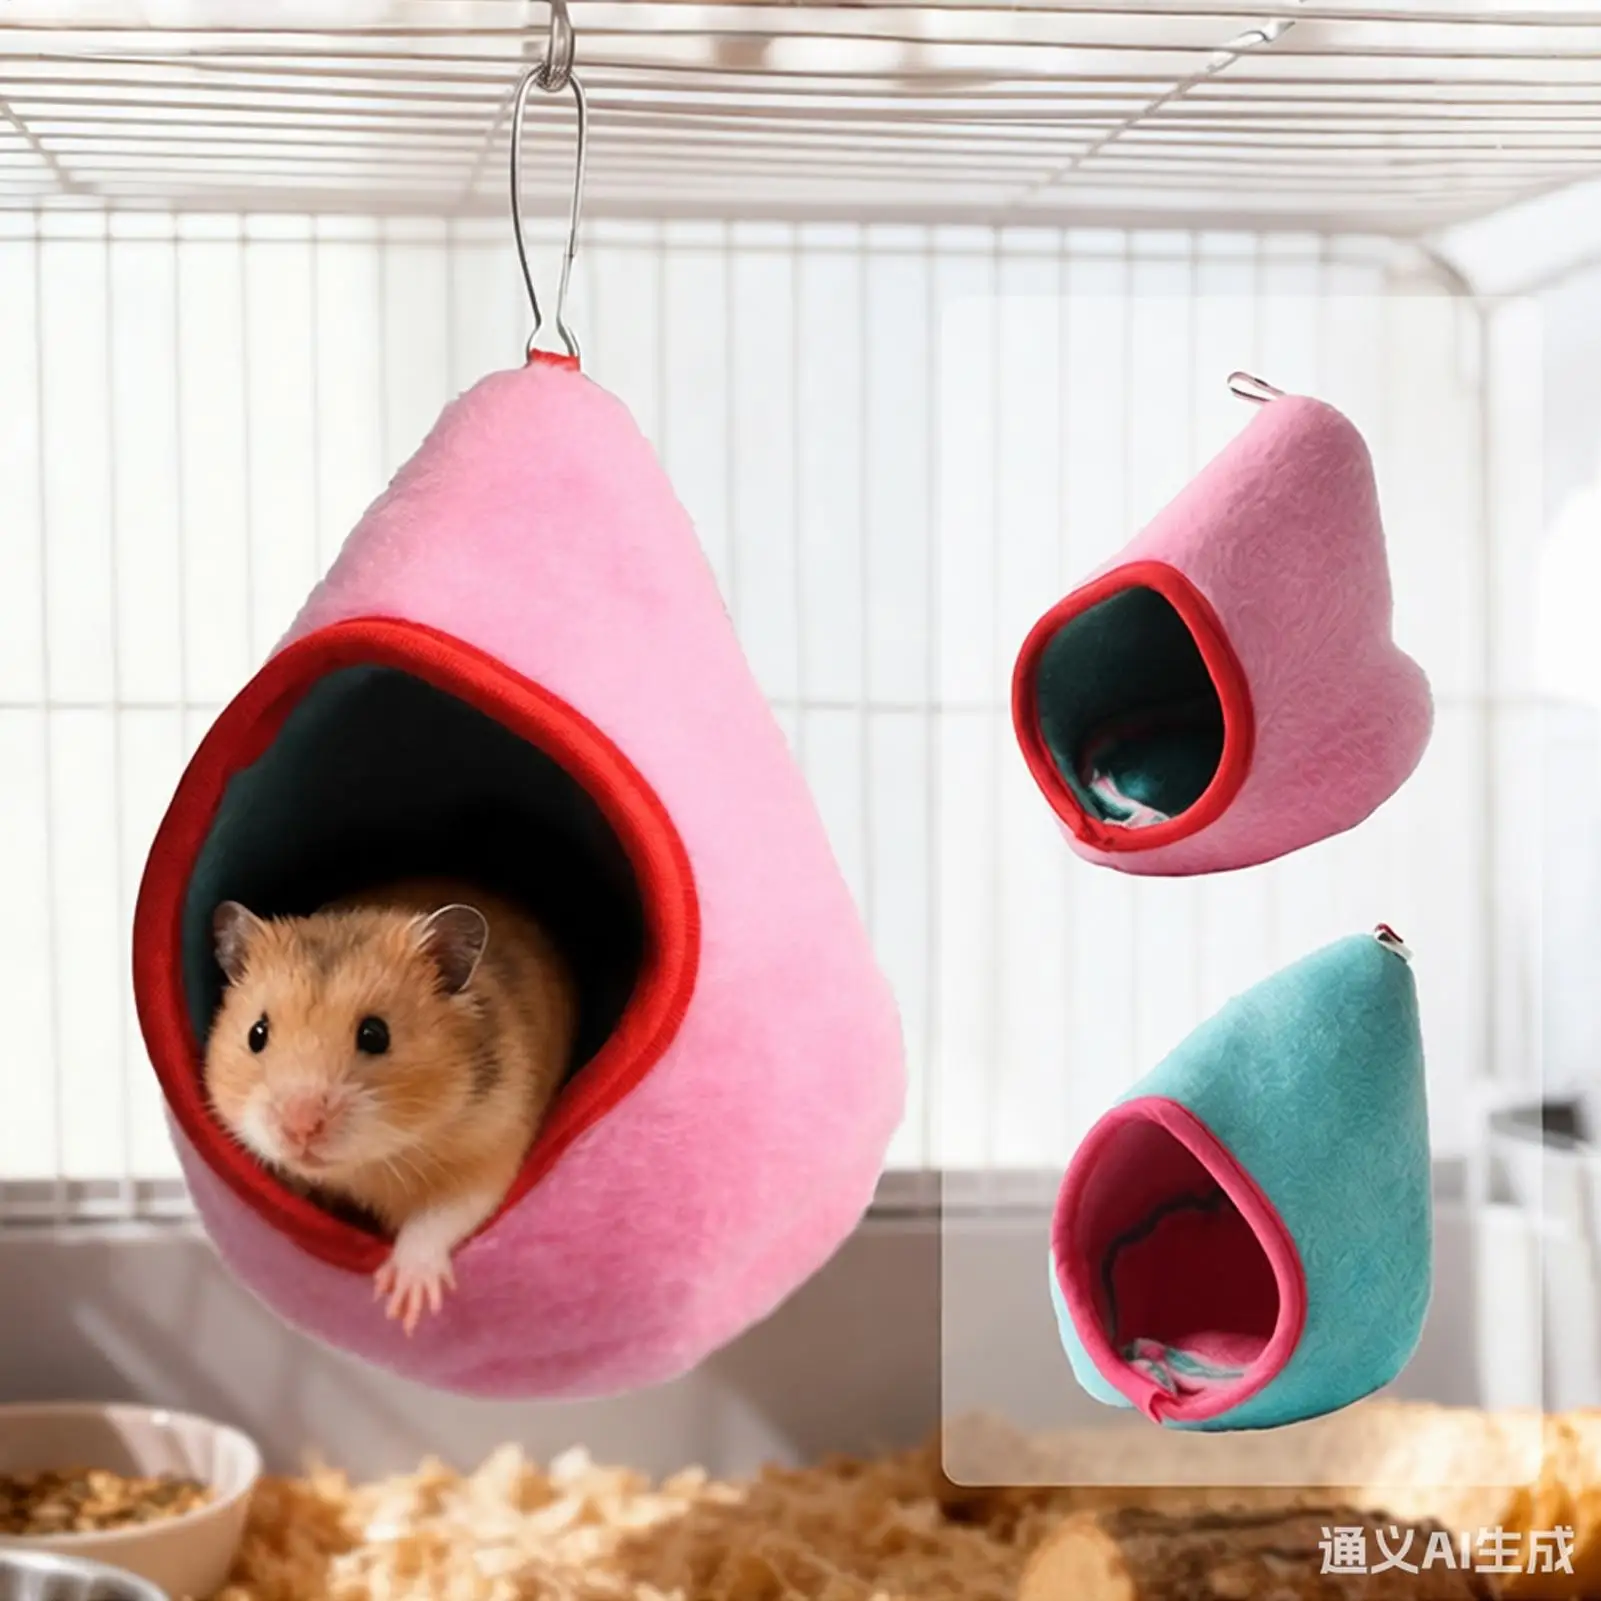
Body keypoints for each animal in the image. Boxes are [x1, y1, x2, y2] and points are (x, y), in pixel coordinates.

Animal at [203, 878, 579, 1334]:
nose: (301, 1127)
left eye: (375, 1034)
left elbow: (438, 1217)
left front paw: (405, 1305)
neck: (367, 1165)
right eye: (257, 1034)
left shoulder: (487, 1151)